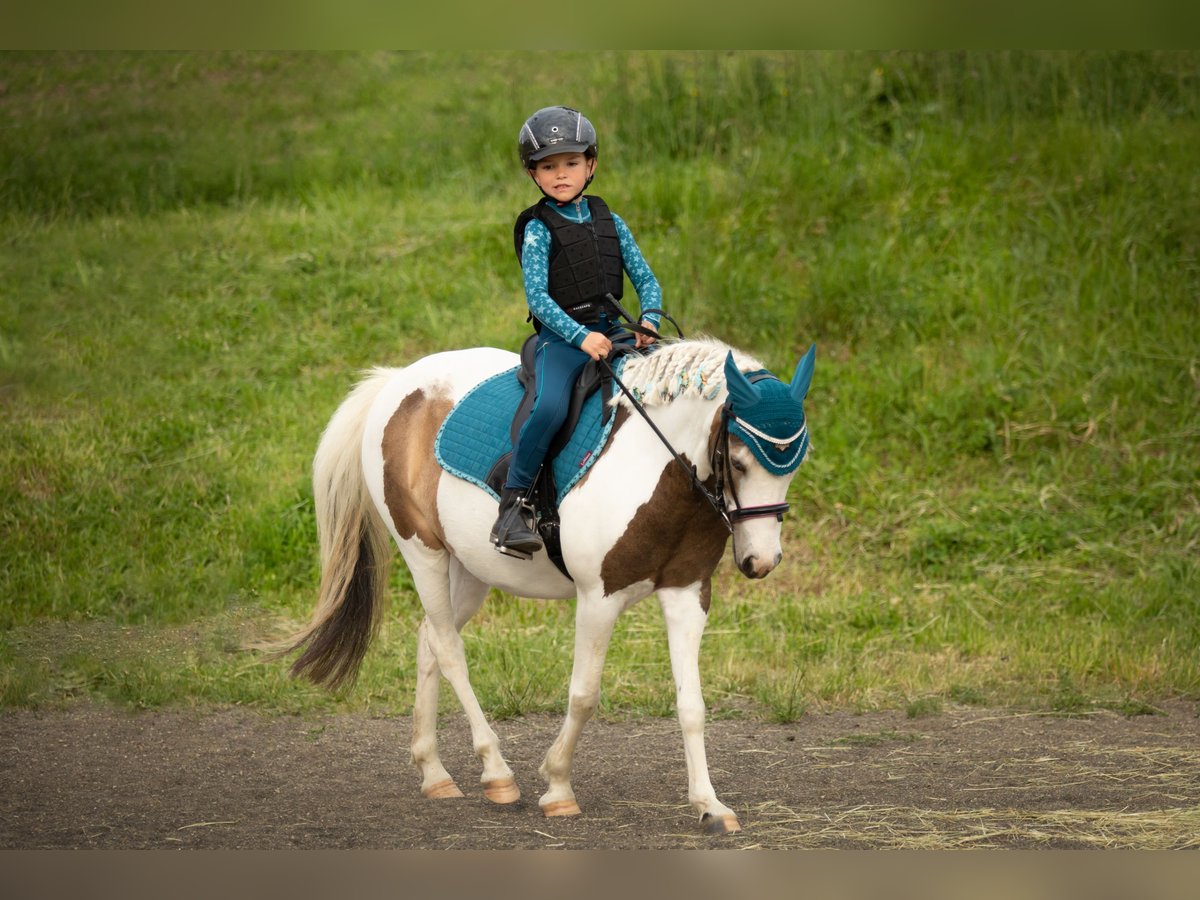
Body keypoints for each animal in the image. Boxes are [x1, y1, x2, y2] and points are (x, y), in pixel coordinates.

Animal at [280, 338, 816, 840]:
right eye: (740, 463)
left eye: (794, 464)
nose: (761, 561)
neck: (656, 466)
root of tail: (396, 381)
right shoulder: (599, 598)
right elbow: (584, 695)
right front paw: (557, 787)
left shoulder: (687, 593)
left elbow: (692, 706)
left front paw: (710, 805)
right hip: (422, 552)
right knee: (449, 650)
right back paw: (496, 773)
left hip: (468, 569)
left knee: (429, 640)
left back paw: (435, 773)